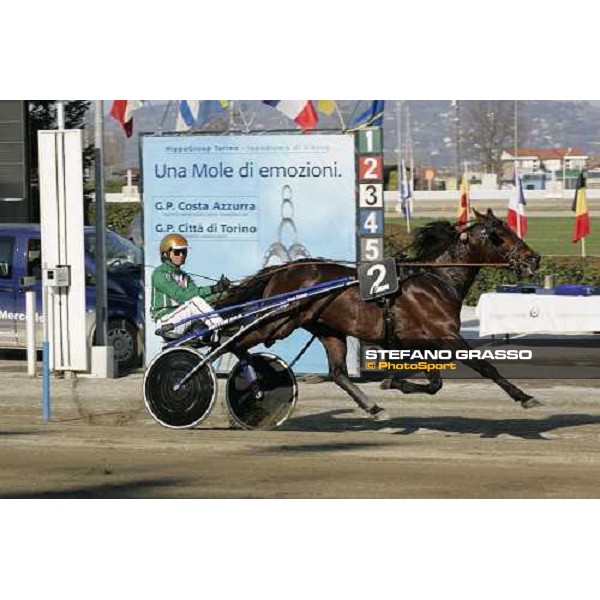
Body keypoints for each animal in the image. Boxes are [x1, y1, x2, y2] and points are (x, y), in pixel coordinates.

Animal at [217, 209, 544, 420]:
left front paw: (393, 383)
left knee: (338, 373)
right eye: (498, 235)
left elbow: (435, 383)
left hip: (327, 329)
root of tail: (281, 270)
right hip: (278, 322)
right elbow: (485, 366)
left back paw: (373, 407)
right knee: (236, 341)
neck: (436, 280)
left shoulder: (424, 342)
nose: (534, 258)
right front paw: (525, 397)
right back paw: (251, 381)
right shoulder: (446, 335)